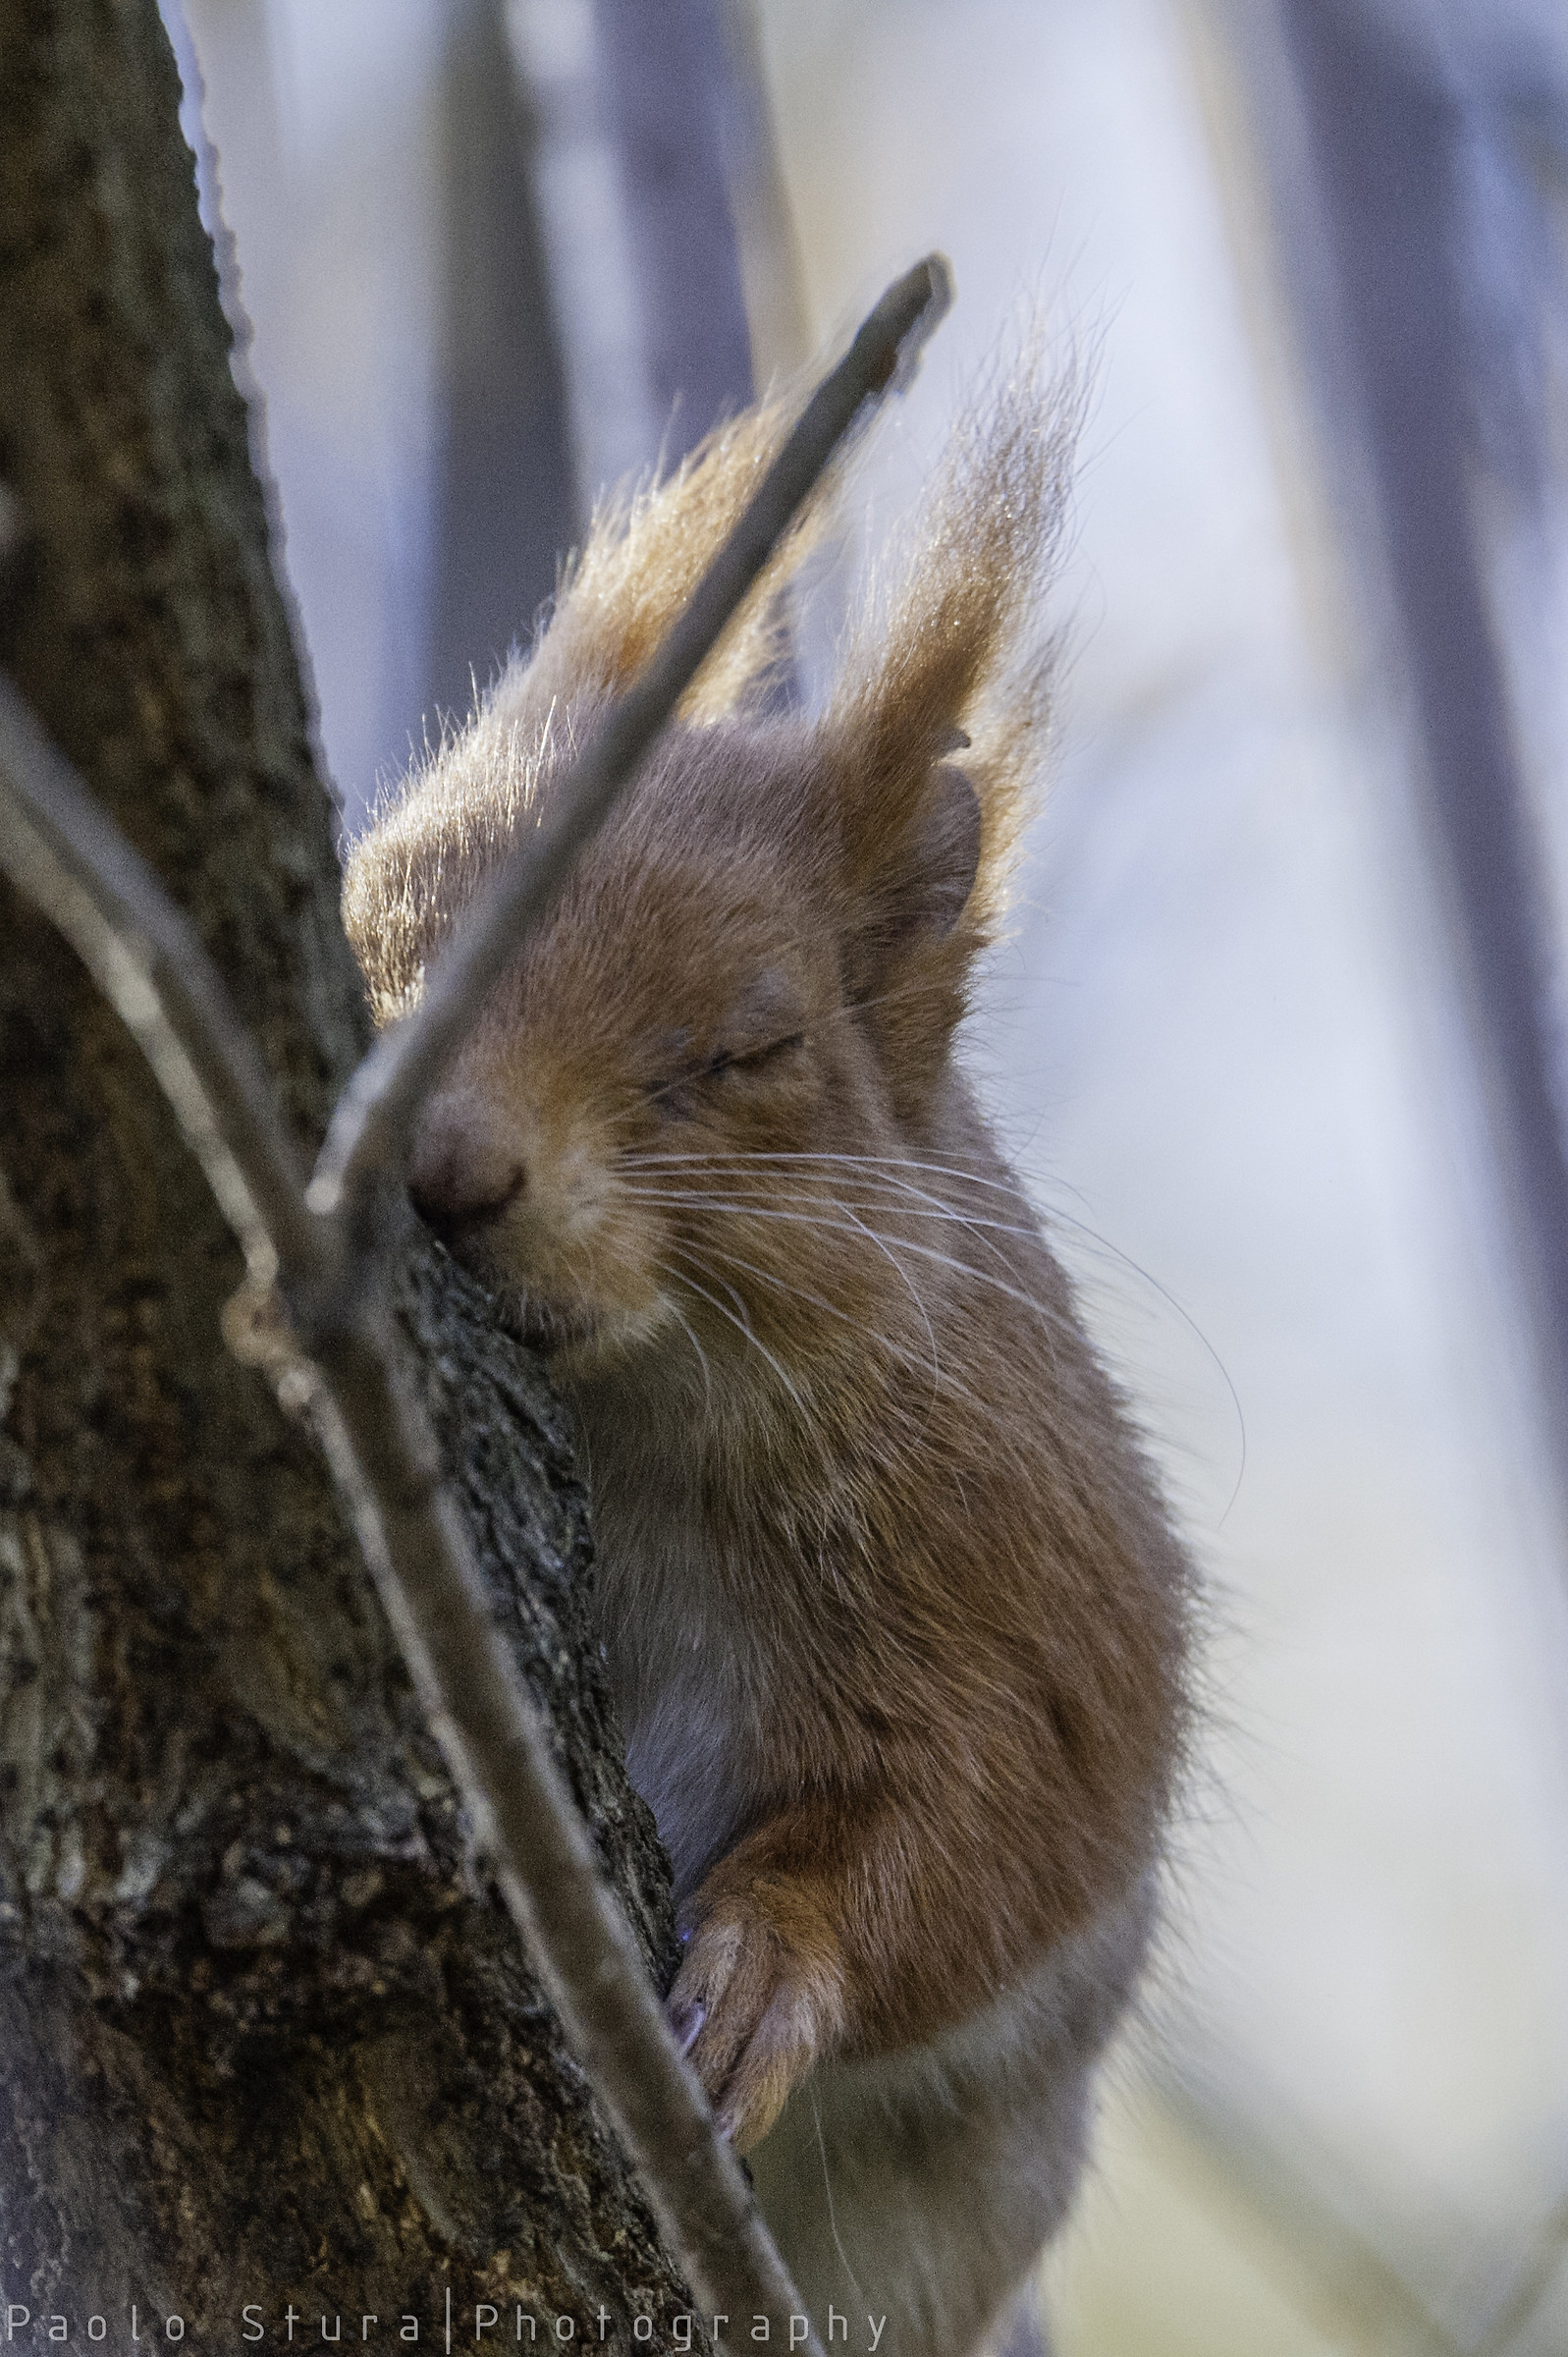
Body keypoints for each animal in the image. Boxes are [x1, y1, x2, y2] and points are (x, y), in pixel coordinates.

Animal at [341, 370, 1194, 2357]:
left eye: (751, 1047)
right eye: (367, 919)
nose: (450, 1168)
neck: (634, 1425)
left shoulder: (1034, 1572)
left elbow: (1000, 1826)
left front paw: (763, 1969)